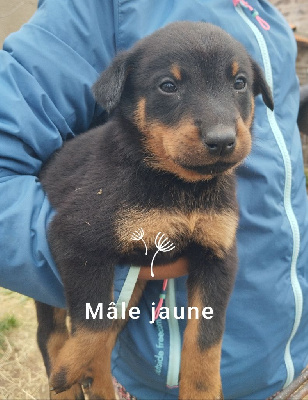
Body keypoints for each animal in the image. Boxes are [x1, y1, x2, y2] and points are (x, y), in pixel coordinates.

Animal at [35, 21, 274, 400]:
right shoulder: (74, 236)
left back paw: (98, 385)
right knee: (52, 332)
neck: (183, 187)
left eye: (239, 83)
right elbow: (93, 319)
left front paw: (202, 390)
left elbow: (206, 338)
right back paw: (67, 381)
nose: (222, 140)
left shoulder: (219, 255)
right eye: (168, 86)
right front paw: (66, 369)